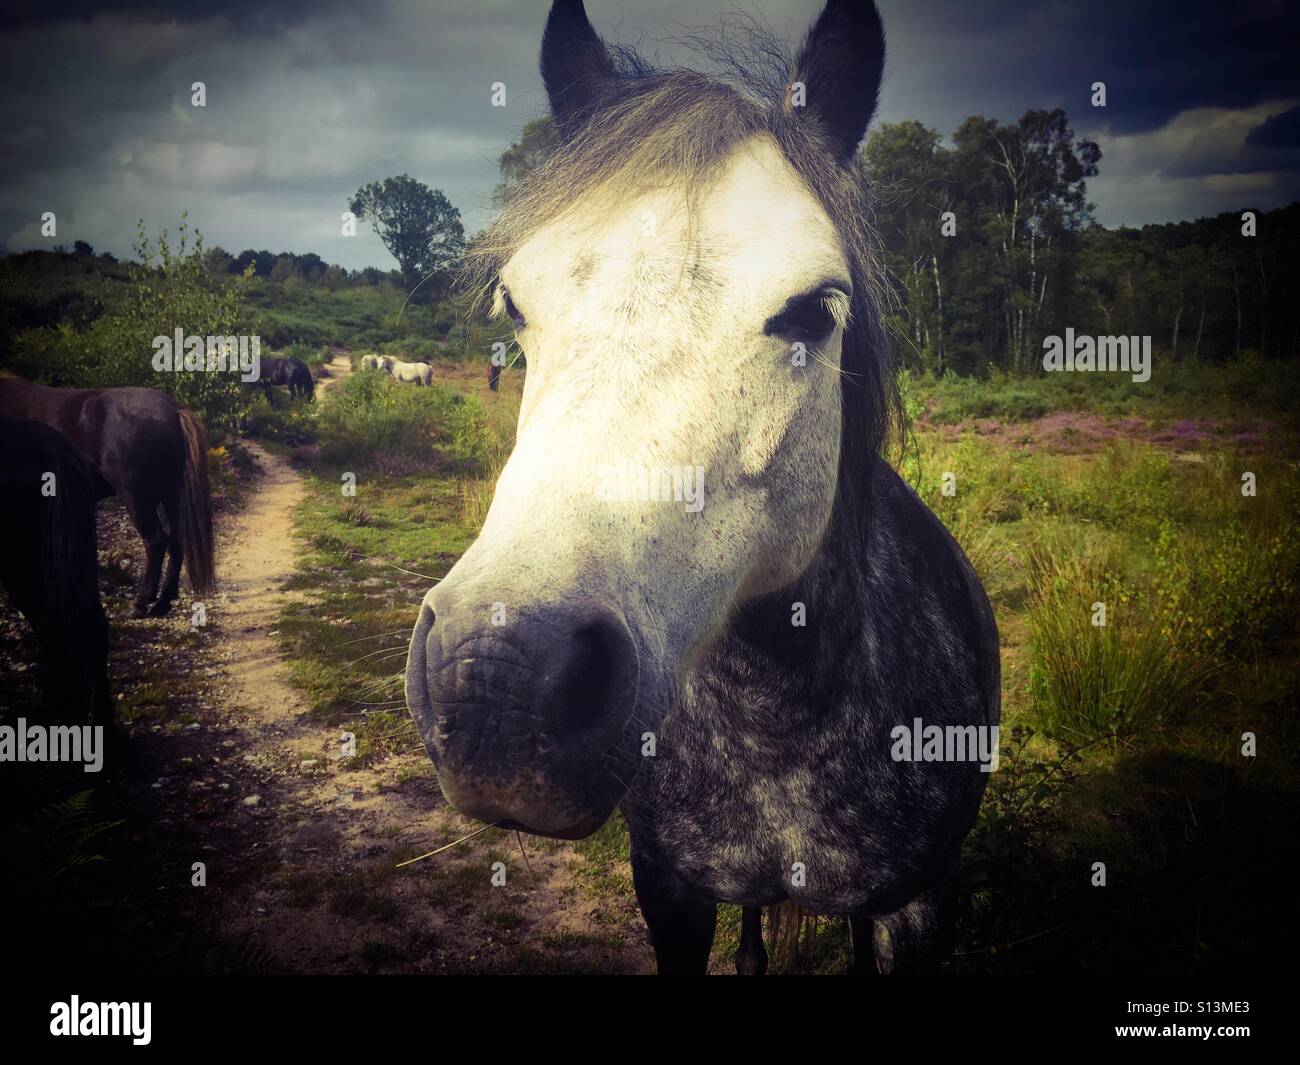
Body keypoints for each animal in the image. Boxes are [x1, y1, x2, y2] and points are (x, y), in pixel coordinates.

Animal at [0, 378, 216, 618]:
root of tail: (174, 411)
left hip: (137, 498)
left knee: (156, 542)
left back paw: (140, 604)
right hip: (168, 495)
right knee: (177, 543)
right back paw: (162, 603)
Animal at [404, 0, 999, 975]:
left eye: (813, 311)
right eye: (514, 304)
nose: (496, 678)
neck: (777, 727)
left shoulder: (916, 909)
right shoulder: (670, 887)